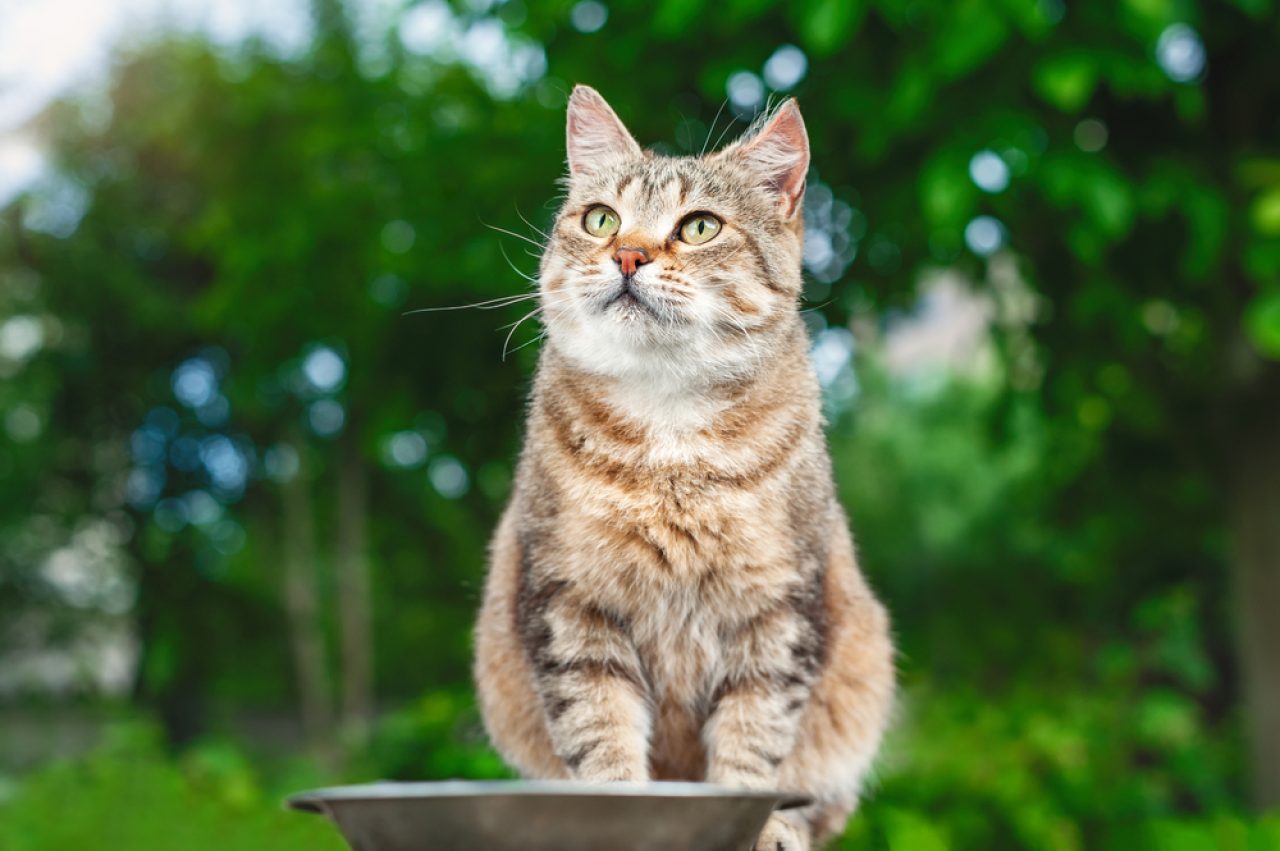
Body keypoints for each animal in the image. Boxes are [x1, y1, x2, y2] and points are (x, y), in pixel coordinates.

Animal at [473, 87, 901, 849]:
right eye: (601, 219)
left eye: (699, 227)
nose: (628, 255)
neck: (669, 428)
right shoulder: (569, 605)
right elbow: (601, 736)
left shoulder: (778, 612)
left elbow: (752, 746)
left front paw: (757, 824)